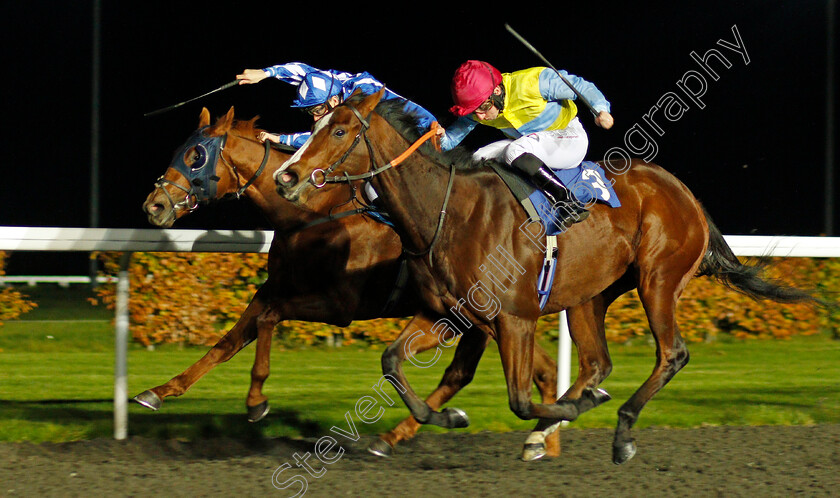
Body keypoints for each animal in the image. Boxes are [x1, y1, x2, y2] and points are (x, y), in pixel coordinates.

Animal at [139, 107, 564, 462]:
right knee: (539, 369)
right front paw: (158, 392)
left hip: (478, 316)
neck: (313, 214)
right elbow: (228, 342)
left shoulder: (339, 305)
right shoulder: (274, 288)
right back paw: (544, 438)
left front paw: (256, 401)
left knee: (463, 374)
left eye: (195, 155)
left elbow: (268, 320)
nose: (153, 206)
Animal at [278, 90, 820, 466]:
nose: (287, 177)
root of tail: (685, 193)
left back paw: (619, 431)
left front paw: (564, 415)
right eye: (316, 125)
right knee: (597, 363)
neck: (449, 212)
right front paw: (444, 419)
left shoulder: (513, 319)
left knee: (671, 354)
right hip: (589, 296)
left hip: (658, 280)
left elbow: (518, 398)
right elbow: (392, 360)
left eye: (341, 131)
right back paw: (561, 423)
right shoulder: (444, 314)